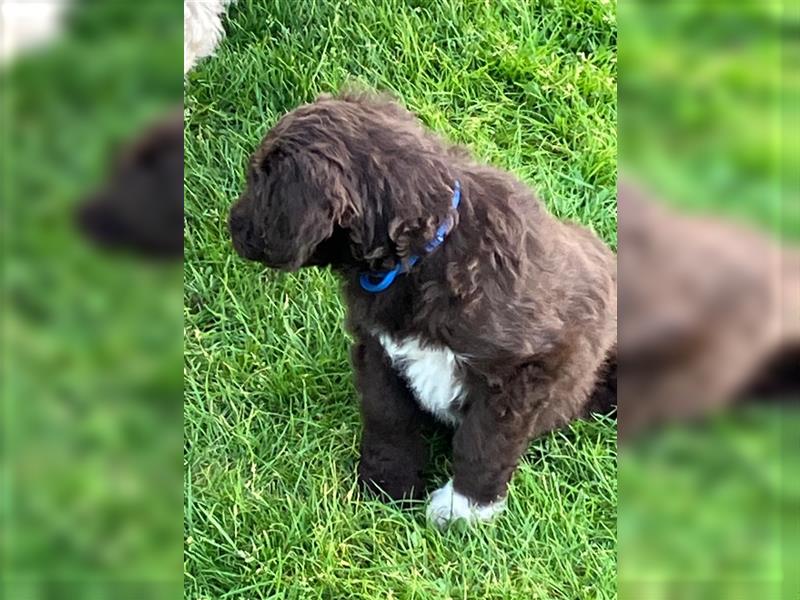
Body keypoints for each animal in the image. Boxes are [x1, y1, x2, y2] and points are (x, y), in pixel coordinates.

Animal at [228, 91, 616, 528]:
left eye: (261, 181)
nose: (231, 225)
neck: (421, 256)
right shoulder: (378, 350)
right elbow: (388, 418)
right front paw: (387, 486)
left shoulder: (524, 370)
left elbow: (483, 441)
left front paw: (465, 508)